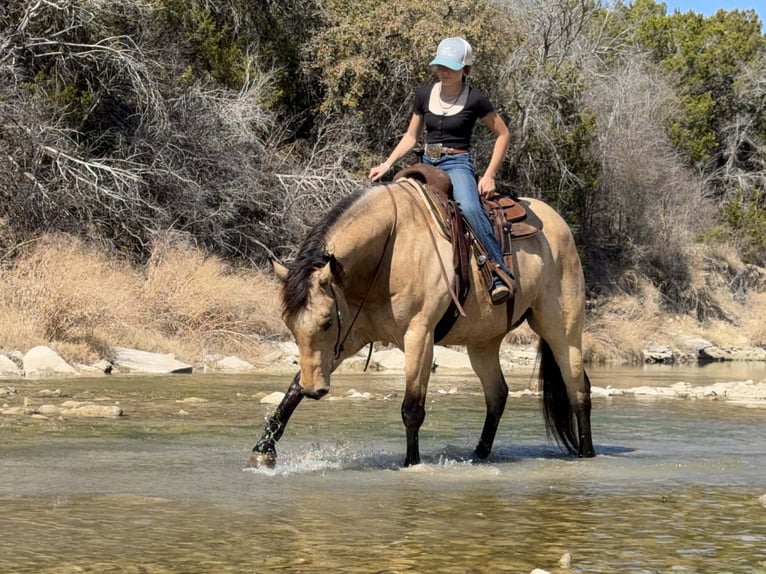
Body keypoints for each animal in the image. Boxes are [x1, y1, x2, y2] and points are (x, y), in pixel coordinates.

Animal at [248, 176, 595, 468]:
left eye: (325, 323)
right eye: (290, 326)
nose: (315, 390)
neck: (389, 249)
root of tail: (559, 224)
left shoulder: (419, 335)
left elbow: (412, 408)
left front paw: (411, 464)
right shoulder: (347, 340)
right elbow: (293, 387)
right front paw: (263, 450)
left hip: (562, 330)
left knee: (578, 389)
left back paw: (586, 453)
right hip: (483, 343)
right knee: (498, 395)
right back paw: (479, 455)